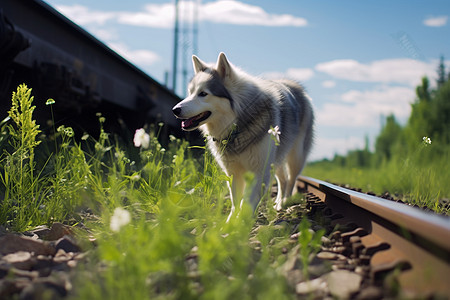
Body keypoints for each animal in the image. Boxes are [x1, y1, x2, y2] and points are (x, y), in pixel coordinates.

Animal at [171, 52, 312, 220]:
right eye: (190, 93)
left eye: (203, 94)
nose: (175, 110)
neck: (237, 125)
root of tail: (293, 84)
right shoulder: (233, 172)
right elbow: (235, 200)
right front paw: (230, 222)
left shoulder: (259, 170)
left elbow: (248, 202)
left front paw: (241, 222)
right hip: (276, 158)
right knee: (283, 180)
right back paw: (278, 203)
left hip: (294, 157)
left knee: (291, 180)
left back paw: (284, 203)